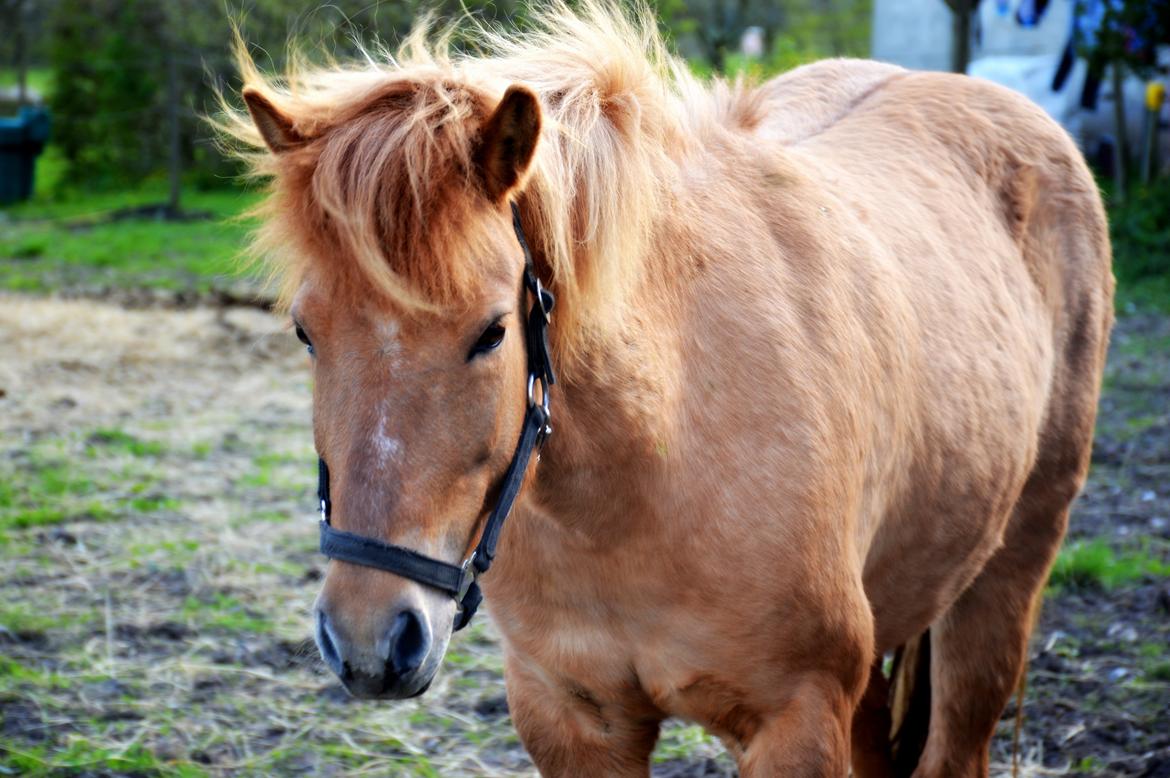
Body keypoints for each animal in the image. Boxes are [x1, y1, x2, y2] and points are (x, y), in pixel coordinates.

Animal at [225, 3, 1113, 772]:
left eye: (491, 332)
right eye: (305, 331)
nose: (370, 641)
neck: (651, 468)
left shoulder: (795, 720)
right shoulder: (573, 719)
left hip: (1003, 582)